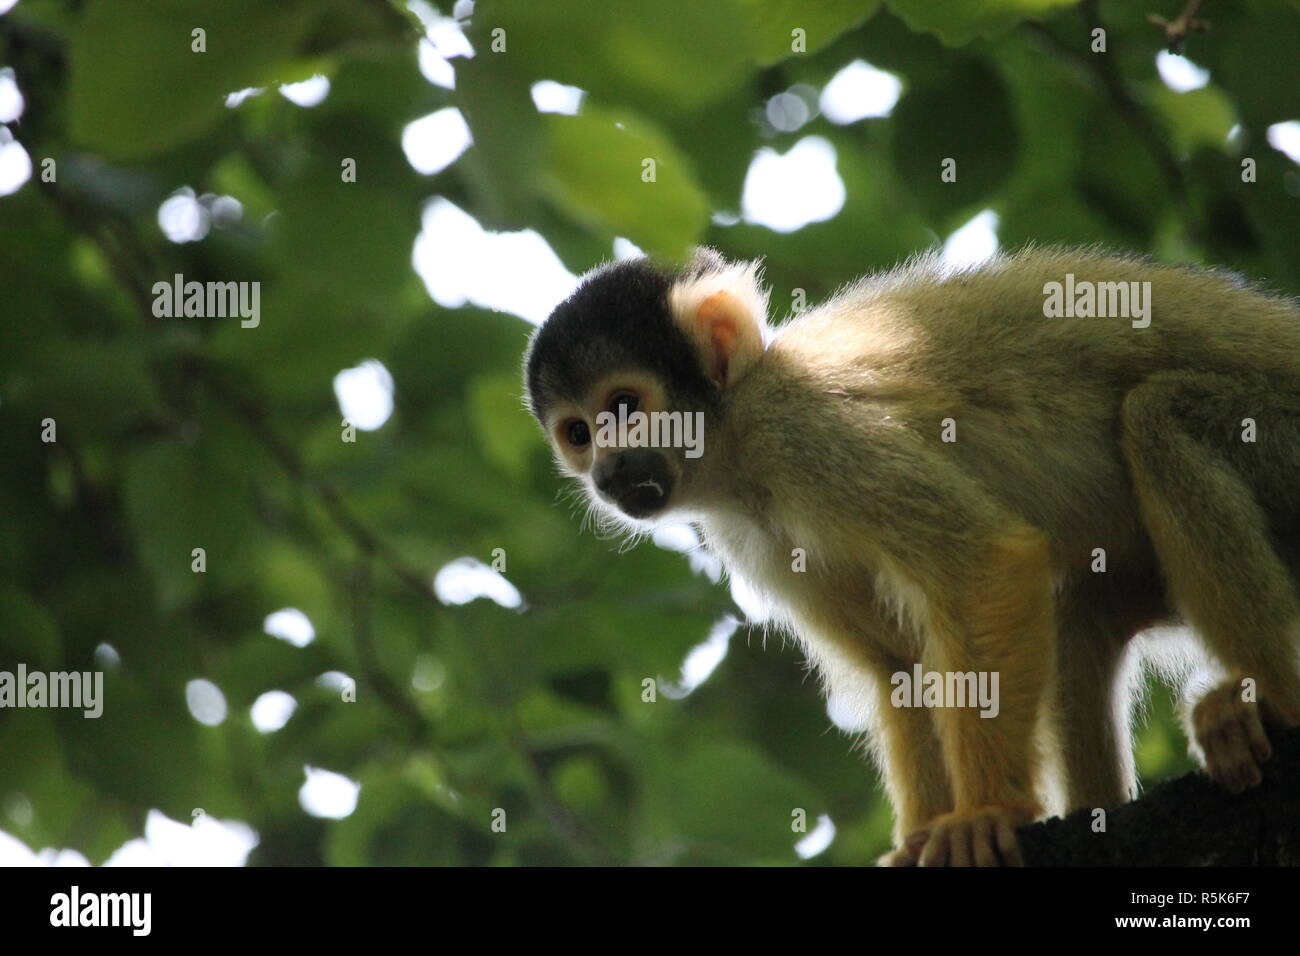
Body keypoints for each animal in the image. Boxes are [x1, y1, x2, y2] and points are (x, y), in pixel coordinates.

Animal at [520, 247, 1300, 868]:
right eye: (578, 433)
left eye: (625, 408)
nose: (607, 474)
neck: (734, 443)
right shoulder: (754, 537)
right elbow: (900, 665)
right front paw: (921, 836)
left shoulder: (804, 430)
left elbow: (981, 563)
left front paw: (986, 815)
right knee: (1080, 618)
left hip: (1283, 441)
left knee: (1160, 419)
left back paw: (1268, 704)